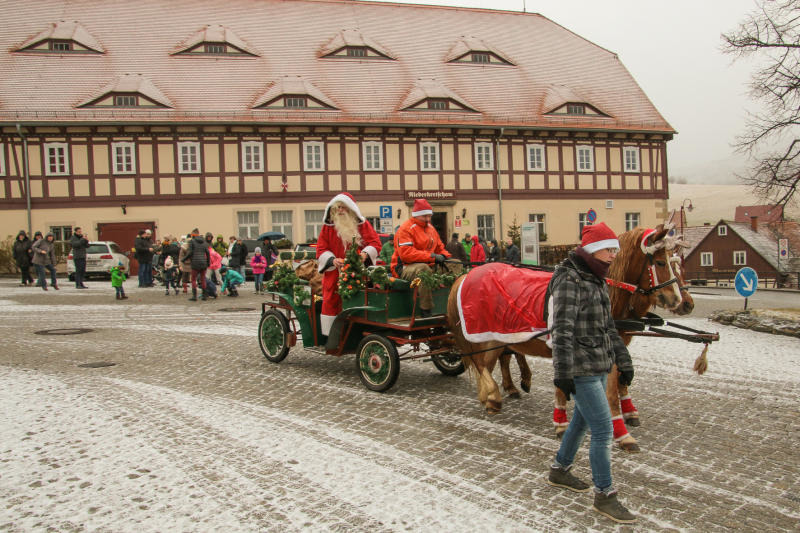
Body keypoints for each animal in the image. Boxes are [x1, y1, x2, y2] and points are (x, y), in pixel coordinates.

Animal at [450, 223, 688, 448]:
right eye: (661, 263)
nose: (679, 301)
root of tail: (466, 275)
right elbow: (605, 392)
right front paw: (617, 432)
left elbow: (617, 382)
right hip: (485, 336)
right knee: (482, 364)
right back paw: (492, 394)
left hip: (499, 336)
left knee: (491, 362)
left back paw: (495, 394)